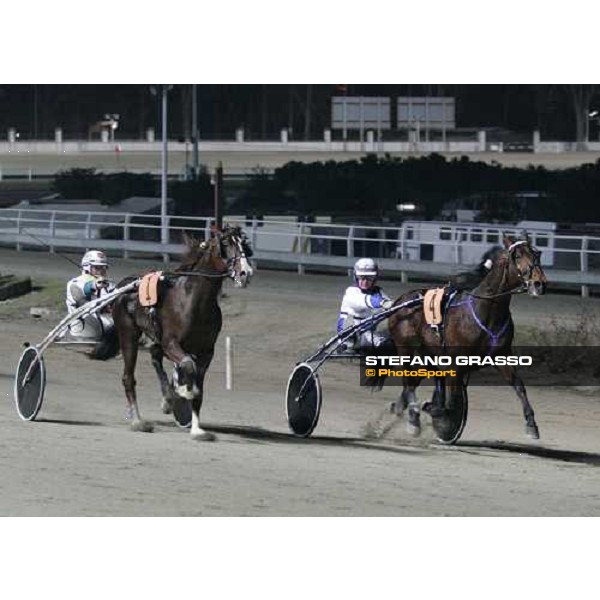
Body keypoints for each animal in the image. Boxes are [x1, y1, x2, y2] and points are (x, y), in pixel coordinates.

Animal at [111, 225, 252, 440]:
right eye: (227, 243)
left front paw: (197, 429)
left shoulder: (206, 351)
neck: (194, 302)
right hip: (128, 335)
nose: (245, 273)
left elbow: (198, 387)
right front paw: (184, 391)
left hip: (155, 340)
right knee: (128, 378)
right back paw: (138, 420)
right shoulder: (171, 343)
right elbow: (187, 365)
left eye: (244, 244)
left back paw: (166, 400)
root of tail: (124, 285)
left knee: (155, 360)